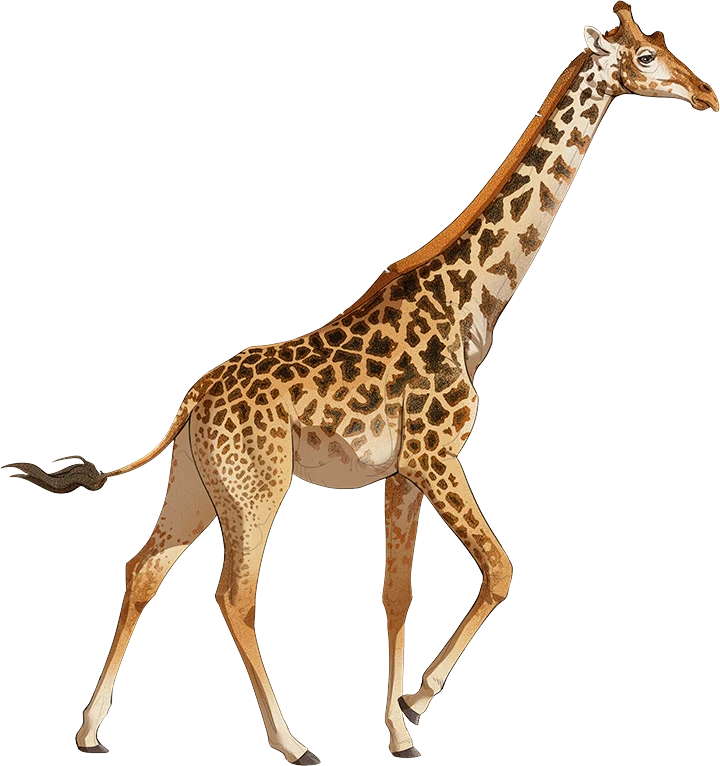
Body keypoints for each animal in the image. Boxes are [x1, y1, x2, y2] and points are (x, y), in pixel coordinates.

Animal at [2, 3, 717, 762]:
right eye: (645, 56)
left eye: (663, 41)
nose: (705, 92)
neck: (475, 302)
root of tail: (192, 400)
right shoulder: (436, 454)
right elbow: (499, 569)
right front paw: (418, 698)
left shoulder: (403, 474)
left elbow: (398, 593)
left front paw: (400, 731)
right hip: (255, 490)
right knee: (234, 596)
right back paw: (292, 740)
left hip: (197, 483)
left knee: (142, 570)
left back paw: (89, 731)